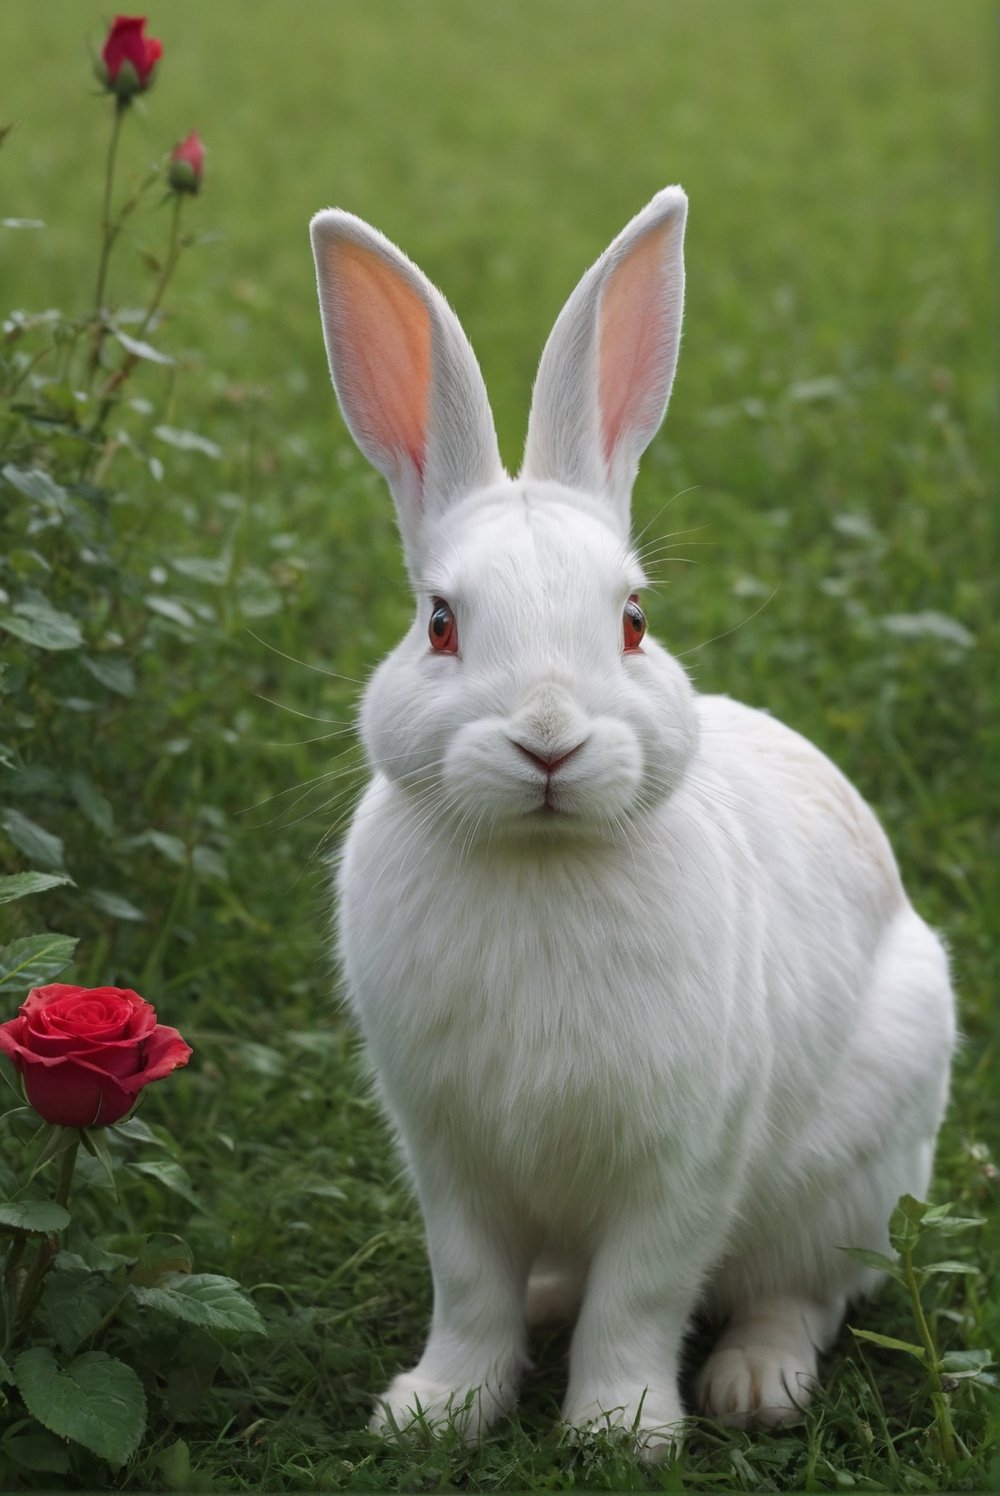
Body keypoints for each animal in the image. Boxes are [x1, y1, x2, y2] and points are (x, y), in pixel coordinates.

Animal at [308, 181, 958, 1454]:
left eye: (633, 620)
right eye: (440, 623)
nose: (549, 740)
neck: (541, 853)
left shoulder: (685, 1159)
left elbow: (644, 1291)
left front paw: (620, 1426)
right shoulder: (449, 1158)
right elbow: (468, 1287)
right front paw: (434, 1410)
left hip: (851, 1179)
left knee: (798, 1294)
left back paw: (751, 1385)